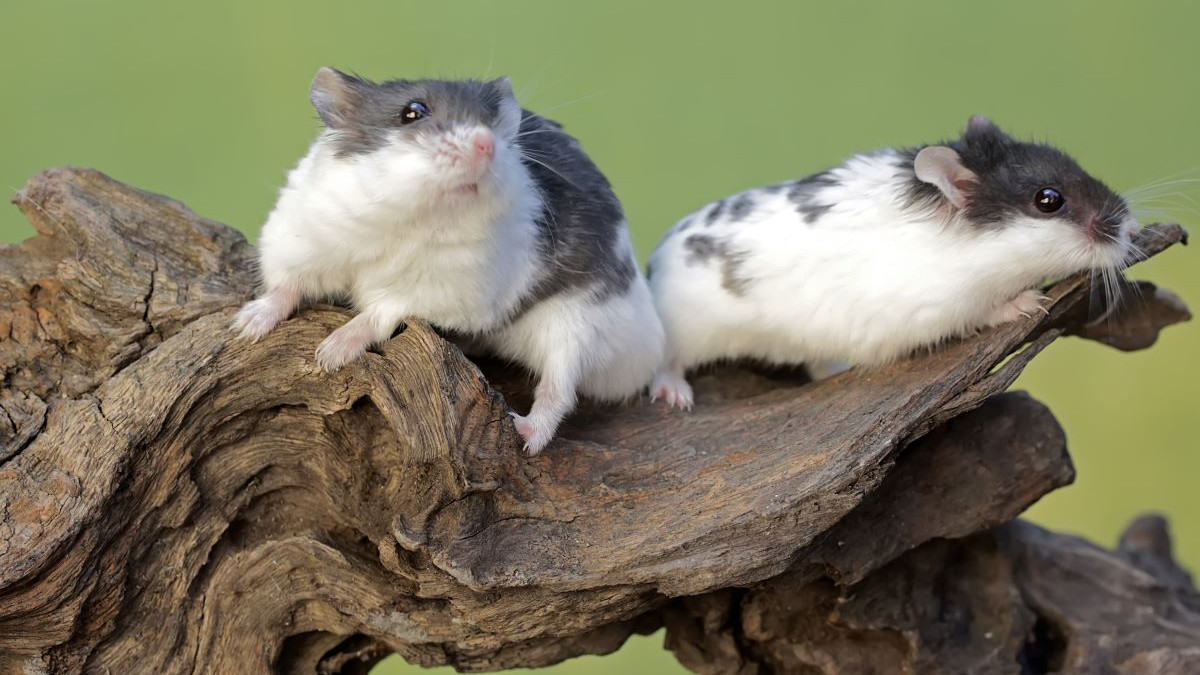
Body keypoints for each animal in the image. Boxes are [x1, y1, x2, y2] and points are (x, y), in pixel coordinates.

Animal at [234, 67, 664, 453]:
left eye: (490, 119)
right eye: (412, 112)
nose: (486, 144)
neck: (412, 215)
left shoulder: (442, 290)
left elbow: (380, 311)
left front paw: (330, 354)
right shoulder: (301, 237)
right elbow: (286, 286)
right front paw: (246, 328)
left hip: (580, 325)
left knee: (558, 389)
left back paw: (525, 431)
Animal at [647, 115, 1140, 409]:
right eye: (1048, 200)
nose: (1131, 229)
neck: (976, 250)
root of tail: (654, 265)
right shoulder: (932, 308)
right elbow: (981, 311)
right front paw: (1028, 303)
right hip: (686, 331)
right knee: (665, 364)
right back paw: (677, 397)